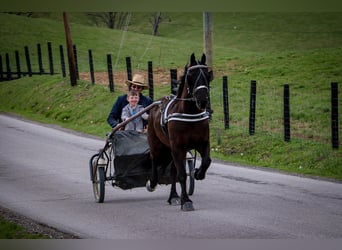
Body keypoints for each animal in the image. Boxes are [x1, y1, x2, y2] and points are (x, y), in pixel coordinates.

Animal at [146, 52, 212, 211]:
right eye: (191, 75)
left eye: (208, 74)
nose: (203, 100)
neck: (189, 113)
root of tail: (156, 105)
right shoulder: (177, 147)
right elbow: (182, 175)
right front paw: (186, 201)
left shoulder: (202, 143)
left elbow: (206, 160)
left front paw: (198, 173)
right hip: (156, 142)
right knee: (154, 158)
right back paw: (153, 182)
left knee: (173, 171)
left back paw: (174, 196)